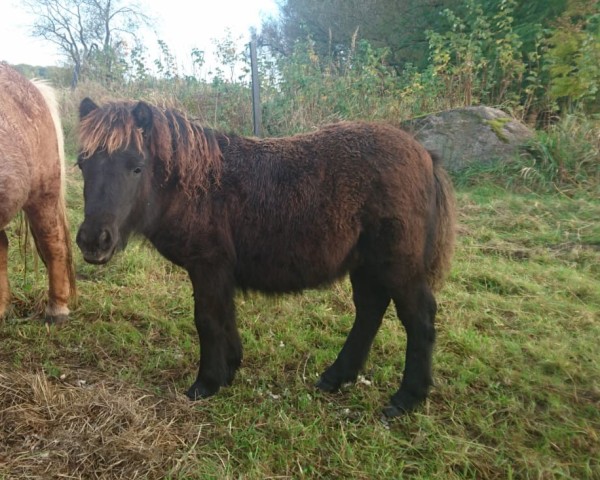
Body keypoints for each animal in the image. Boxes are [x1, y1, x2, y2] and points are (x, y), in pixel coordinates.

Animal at [77, 98, 458, 416]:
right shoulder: (220, 271)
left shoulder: (208, 266)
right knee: (369, 311)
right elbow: (225, 316)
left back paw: (406, 398)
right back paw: (336, 377)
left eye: (136, 167)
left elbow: (207, 320)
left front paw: (206, 383)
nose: (93, 241)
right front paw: (230, 368)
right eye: (82, 164)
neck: (199, 187)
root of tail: (425, 154)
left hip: (398, 266)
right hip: (366, 265)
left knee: (418, 320)